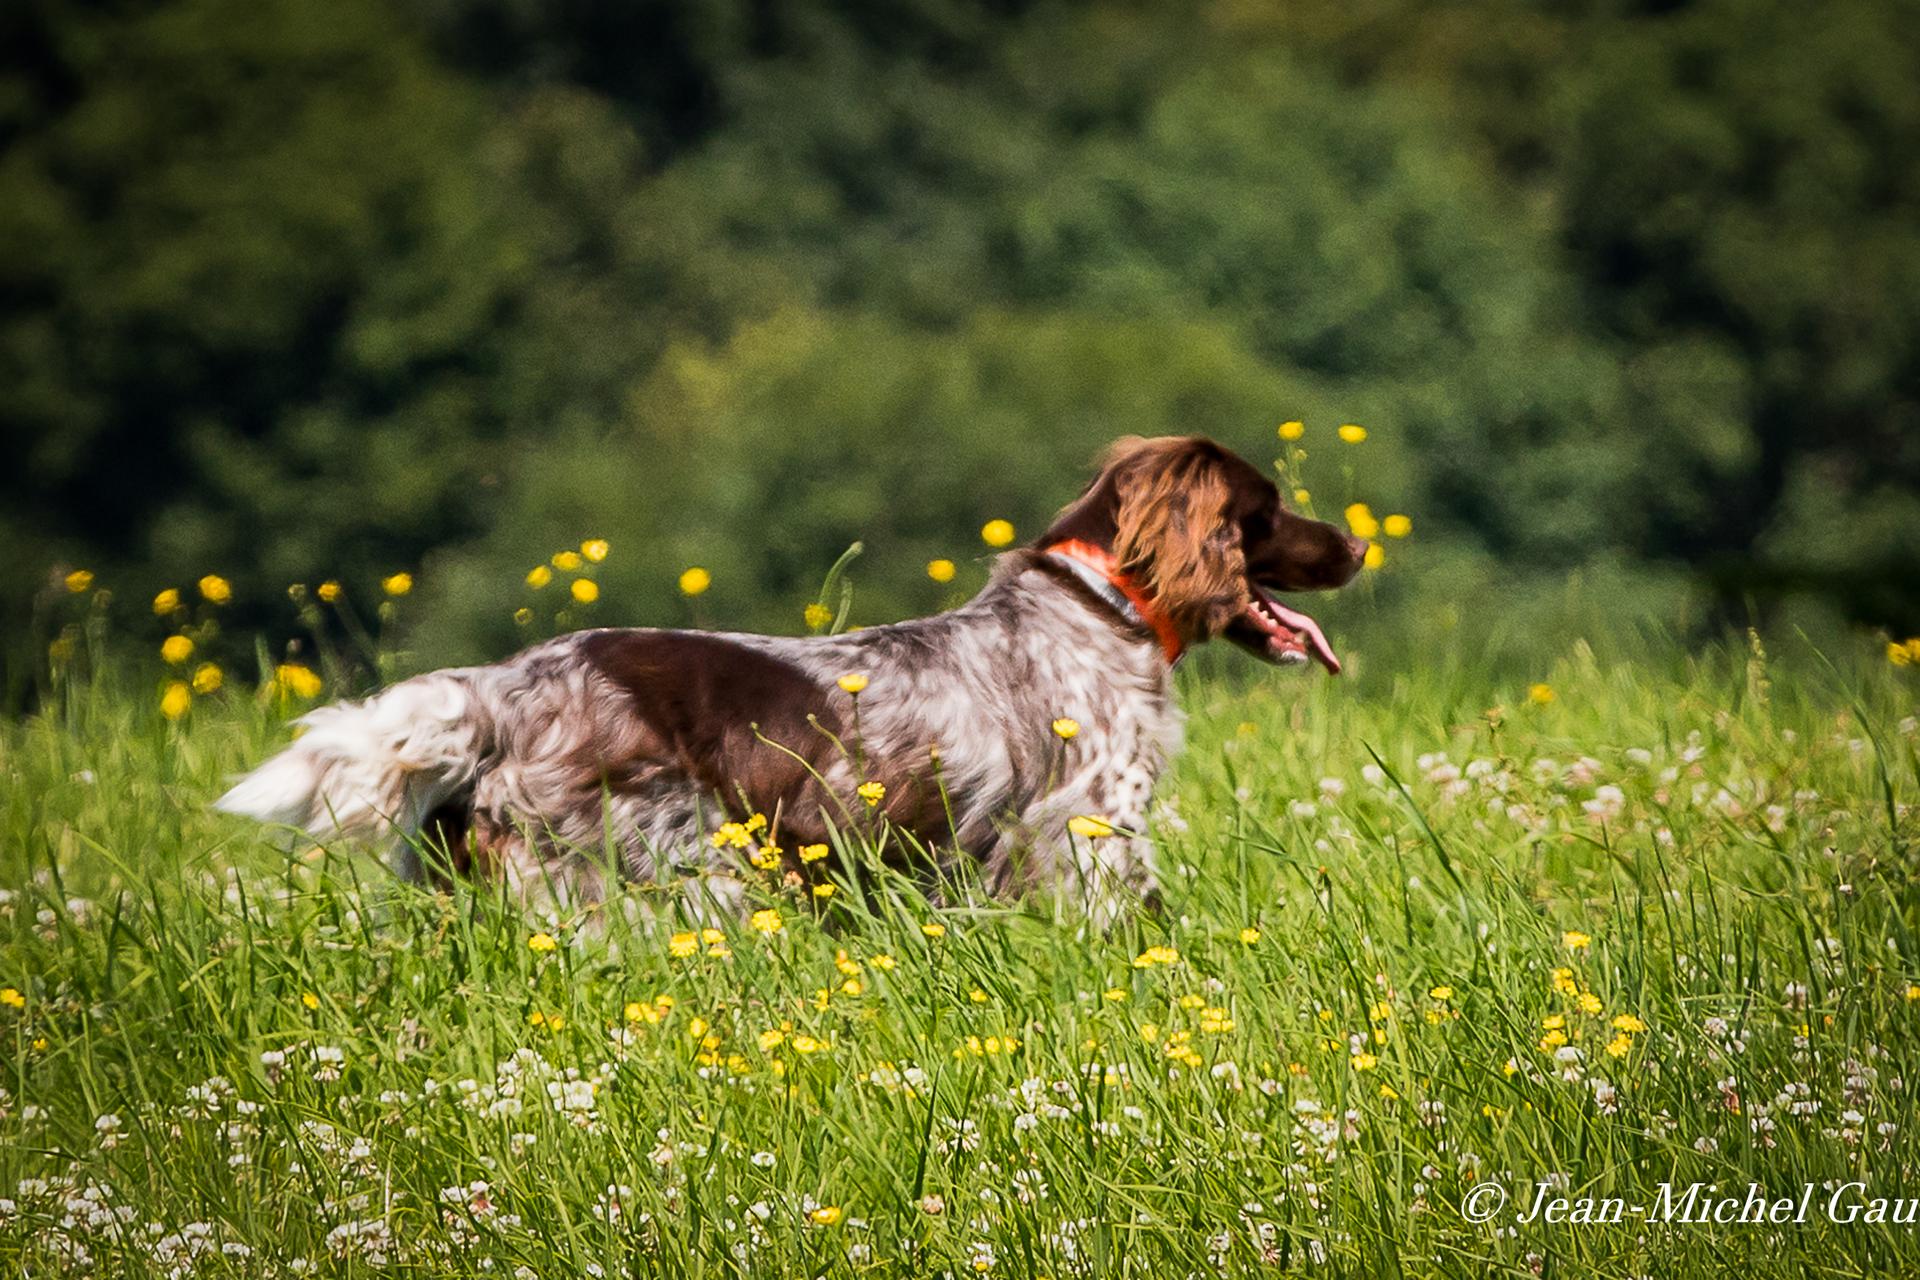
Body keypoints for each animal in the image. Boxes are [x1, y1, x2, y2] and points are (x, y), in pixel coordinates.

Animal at [220, 441, 1367, 921]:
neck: (1097, 608)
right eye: (1266, 506)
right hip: (659, 876)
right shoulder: (1089, 832)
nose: (1359, 545)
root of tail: (500, 689)